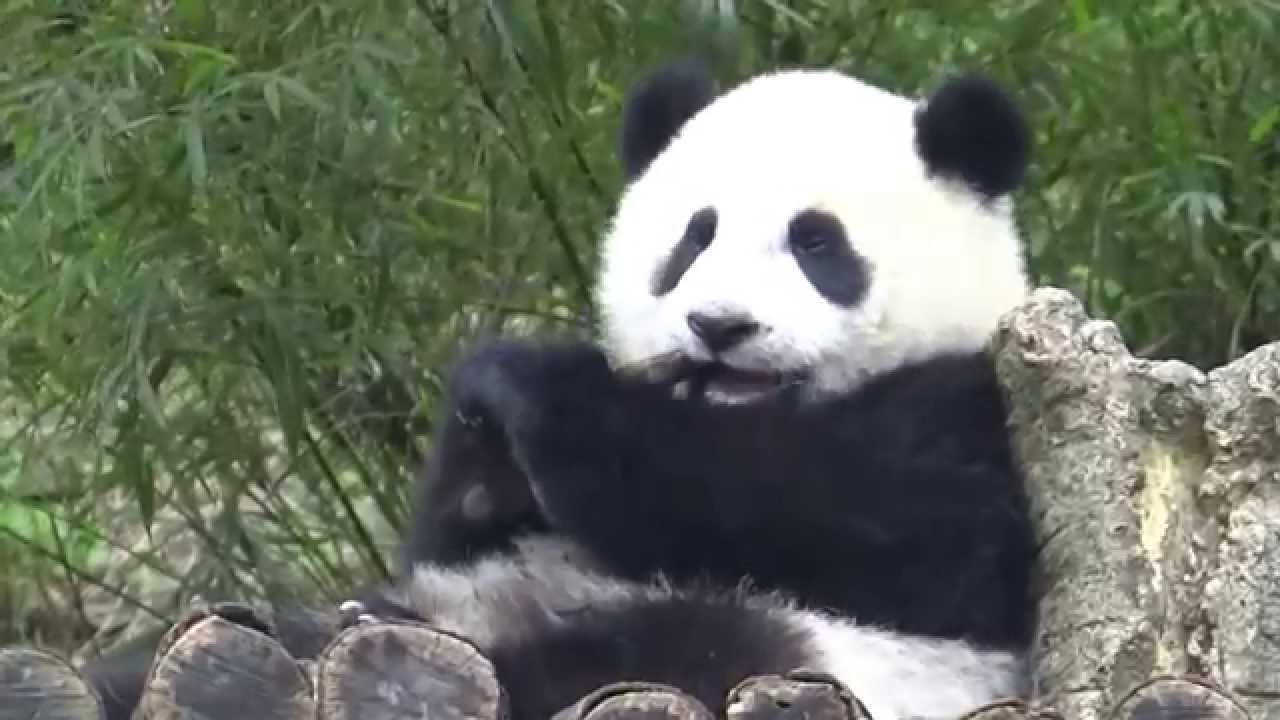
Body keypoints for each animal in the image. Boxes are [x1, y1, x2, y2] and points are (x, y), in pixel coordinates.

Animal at [82, 59, 1037, 720]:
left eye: (817, 244)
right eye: (694, 238)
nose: (719, 326)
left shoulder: (978, 418)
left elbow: (842, 511)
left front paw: (532, 386)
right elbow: (459, 523)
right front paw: (480, 442)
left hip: (805, 656)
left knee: (655, 652)